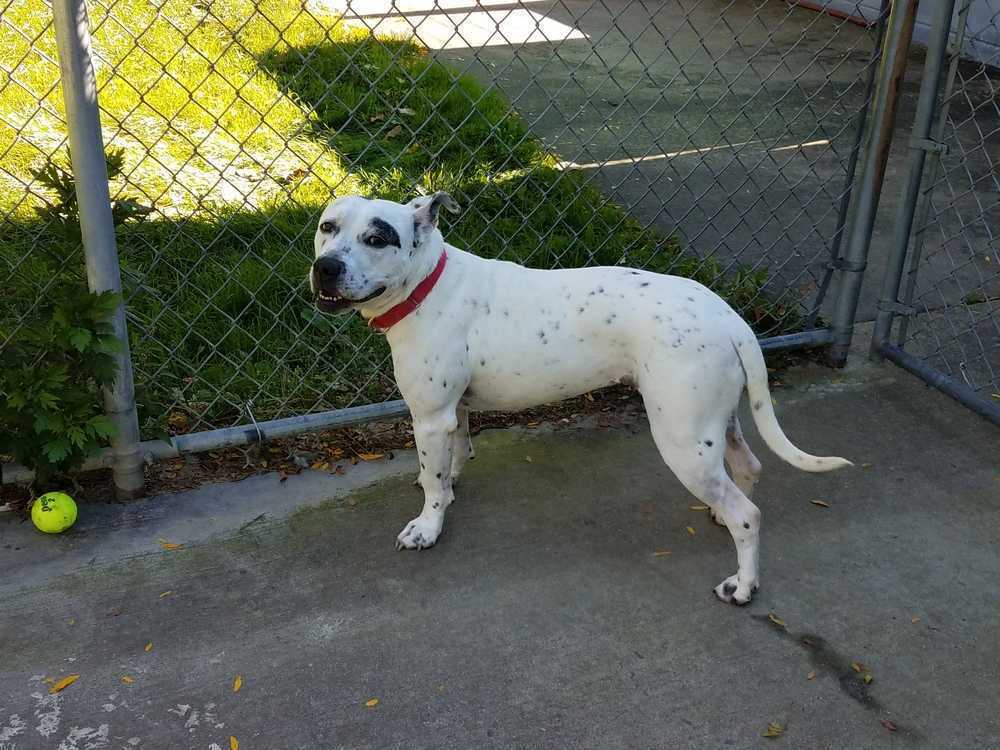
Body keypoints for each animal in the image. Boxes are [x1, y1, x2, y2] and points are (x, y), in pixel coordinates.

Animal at [308, 192, 848, 604]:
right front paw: (448, 481)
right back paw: (723, 517)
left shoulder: (430, 417)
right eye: (327, 227)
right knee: (747, 469)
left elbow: (434, 481)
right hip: (714, 425)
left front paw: (428, 526)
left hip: (682, 441)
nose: (325, 267)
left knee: (748, 515)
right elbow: (454, 455)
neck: (426, 282)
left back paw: (743, 584)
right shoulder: (451, 412)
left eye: (378, 238)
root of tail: (730, 316)